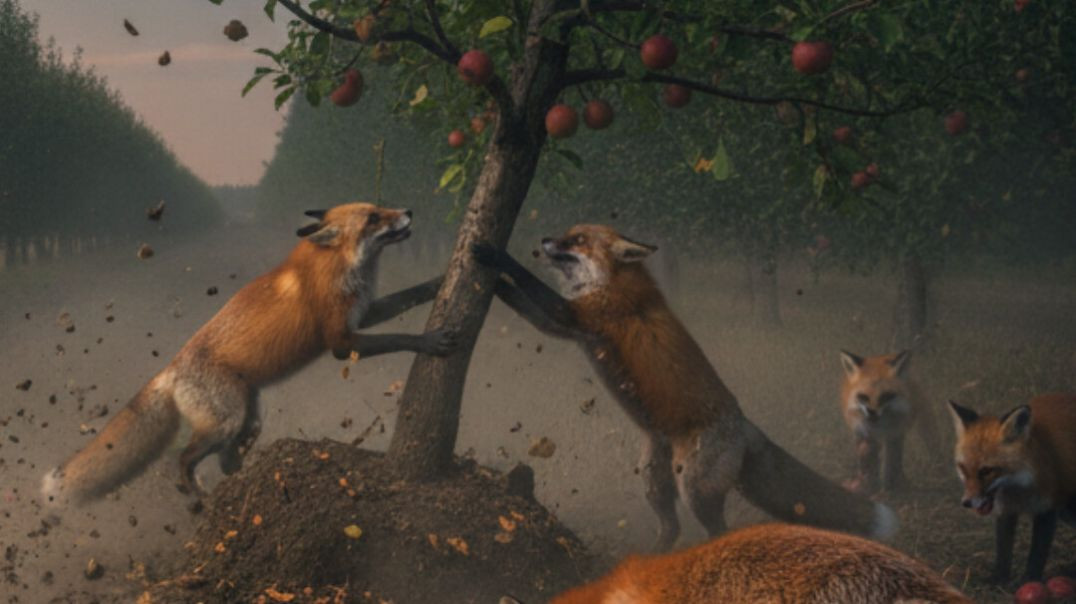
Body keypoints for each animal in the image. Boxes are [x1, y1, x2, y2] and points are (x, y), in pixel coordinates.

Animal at [42, 203, 455, 506]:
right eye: (373, 218)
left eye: (381, 207)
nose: (410, 210)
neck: (340, 267)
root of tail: (171, 367)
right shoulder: (340, 341)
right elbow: (398, 337)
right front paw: (430, 339)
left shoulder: (363, 314)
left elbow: (409, 296)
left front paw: (441, 280)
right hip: (226, 421)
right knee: (185, 458)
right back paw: (199, 494)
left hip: (251, 416)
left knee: (227, 460)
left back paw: (244, 482)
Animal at [472, 225, 897, 551]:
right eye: (565, 234)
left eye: (576, 240)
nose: (545, 239)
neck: (609, 282)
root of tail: (745, 425)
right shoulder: (567, 326)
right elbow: (524, 303)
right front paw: (492, 285)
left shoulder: (579, 315)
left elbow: (527, 282)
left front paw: (492, 255)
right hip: (653, 478)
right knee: (671, 527)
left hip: (695, 488)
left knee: (717, 529)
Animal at [839, 350, 941, 494]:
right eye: (863, 397)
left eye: (885, 396)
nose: (872, 414)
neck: (879, 428)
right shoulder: (864, 433)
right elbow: (868, 460)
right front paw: (868, 485)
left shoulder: (894, 435)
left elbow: (891, 464)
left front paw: (888, 490)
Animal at [948, 393, 1076, 582]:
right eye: (963, 468)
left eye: (986, 471)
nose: (967, 503)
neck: (1019, 489)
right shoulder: (1006, 511)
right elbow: (1003, 551)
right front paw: (998, 580)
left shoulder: (1047, 510)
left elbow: (1037, 554)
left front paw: (1029, 580)